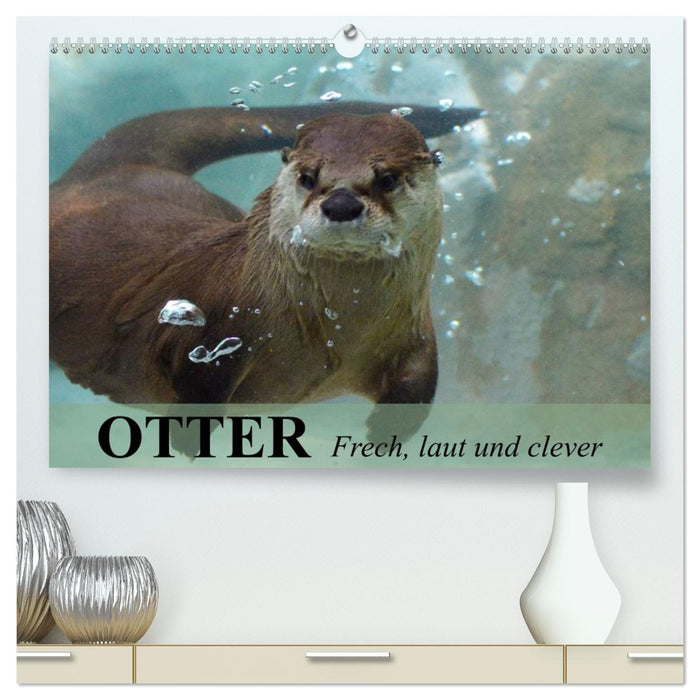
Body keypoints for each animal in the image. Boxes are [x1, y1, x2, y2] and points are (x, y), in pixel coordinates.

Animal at [50, 103, 482, 439]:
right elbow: (197, 385)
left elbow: (418, 389)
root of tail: (105, 172)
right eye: (308, 177)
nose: (341, 204)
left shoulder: (414, 334)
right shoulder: (216, 331)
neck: (338, 331)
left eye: (387, 178)